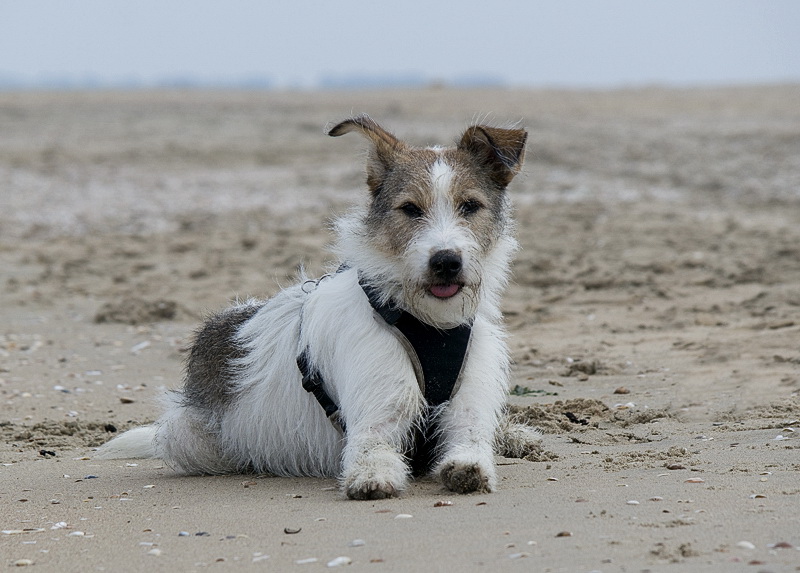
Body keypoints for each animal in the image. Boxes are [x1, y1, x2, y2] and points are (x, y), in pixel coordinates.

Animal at [97, 115, 540, 496]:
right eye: (410, 209)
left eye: (470, 206)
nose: (446, 261)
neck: (427, 323)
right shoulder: (375, 414)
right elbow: (372, 450)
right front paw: (372, 477)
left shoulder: (467, 404)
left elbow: (472, 438)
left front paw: (471, 466)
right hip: (184, 435)